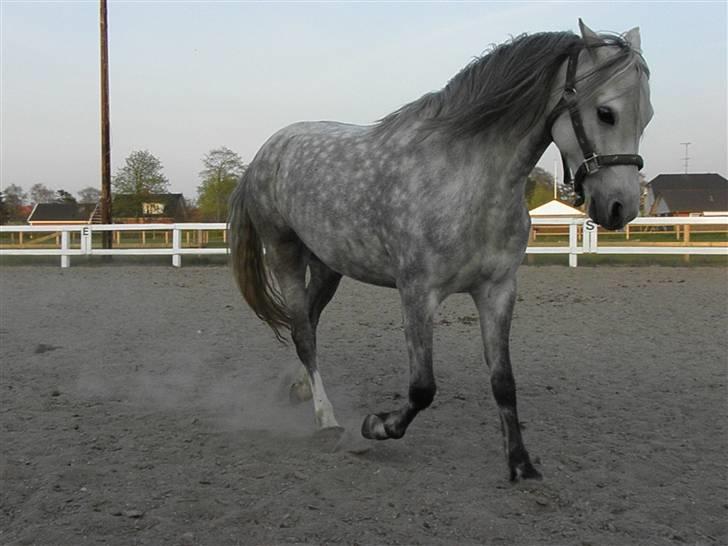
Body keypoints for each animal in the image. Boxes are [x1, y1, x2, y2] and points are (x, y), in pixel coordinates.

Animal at [229, 19, 652, 481]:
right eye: (606, 112)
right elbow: (422, 388)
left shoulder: (498, 291)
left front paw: (521, 464)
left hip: (328, 266)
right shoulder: (418, 293)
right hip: (283, 252)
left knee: (306, 320)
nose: (621, 208)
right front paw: (375, 426)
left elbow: (503, 381)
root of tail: (267, 151)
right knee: (303, 333)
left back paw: (298, 388)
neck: (467, 181)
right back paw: (329, 421)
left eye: (646, 116)